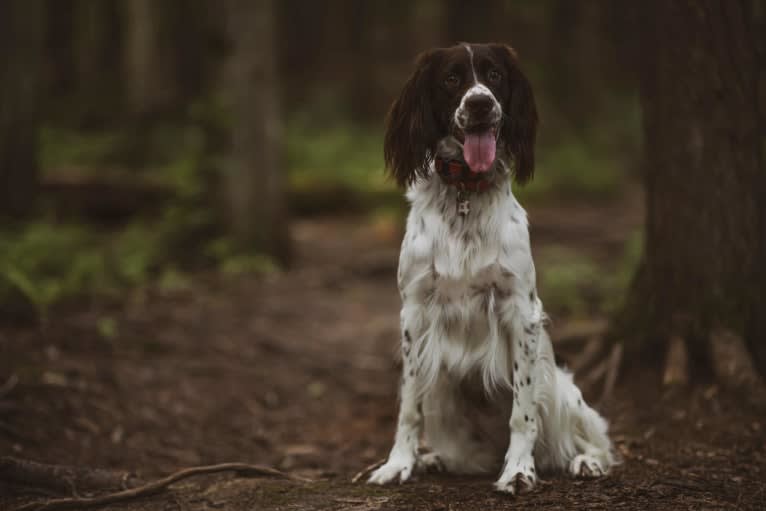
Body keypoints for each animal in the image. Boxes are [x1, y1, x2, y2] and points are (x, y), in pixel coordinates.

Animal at [368, 44, 616, 496]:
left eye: (495, 74)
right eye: (451, 78)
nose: (480, 103)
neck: (466, 193)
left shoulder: (521, 311)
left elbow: (522, 412)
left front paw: (518, 470)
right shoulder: (413, 312)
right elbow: (408, 407)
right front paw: (399, 463)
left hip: (560, 389)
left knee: (594, 440)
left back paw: (586, 461)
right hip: (443, 396)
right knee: (464, 454)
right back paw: (433, 460)